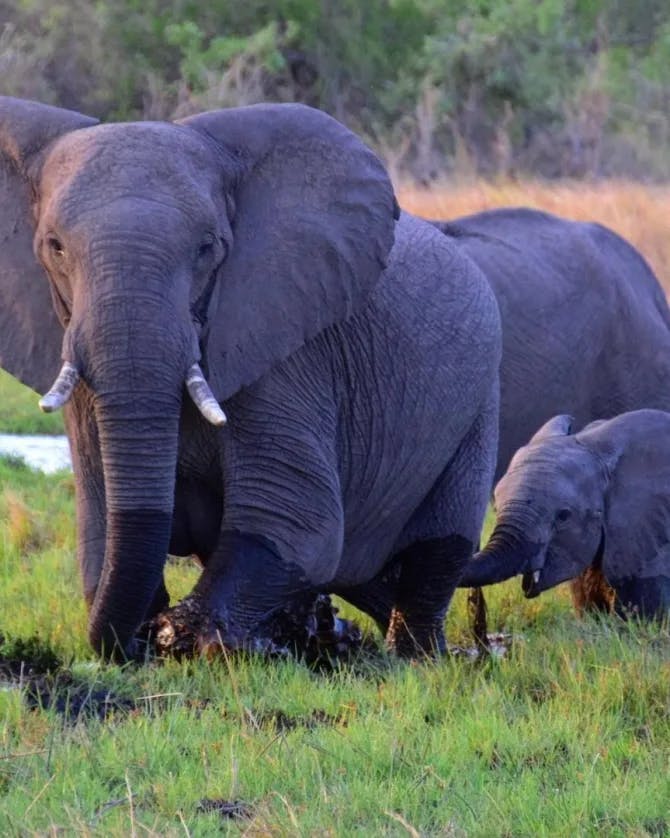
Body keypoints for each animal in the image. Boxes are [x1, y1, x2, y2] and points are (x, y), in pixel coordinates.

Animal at [0, 97, 504, 664]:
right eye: (55, 247)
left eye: (208, 248)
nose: (137, 644)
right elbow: (102, 518)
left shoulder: (287, 352)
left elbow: (296, 520)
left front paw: (193, 639)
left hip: (480, 398)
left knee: (436, 550)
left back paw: (416, 657)